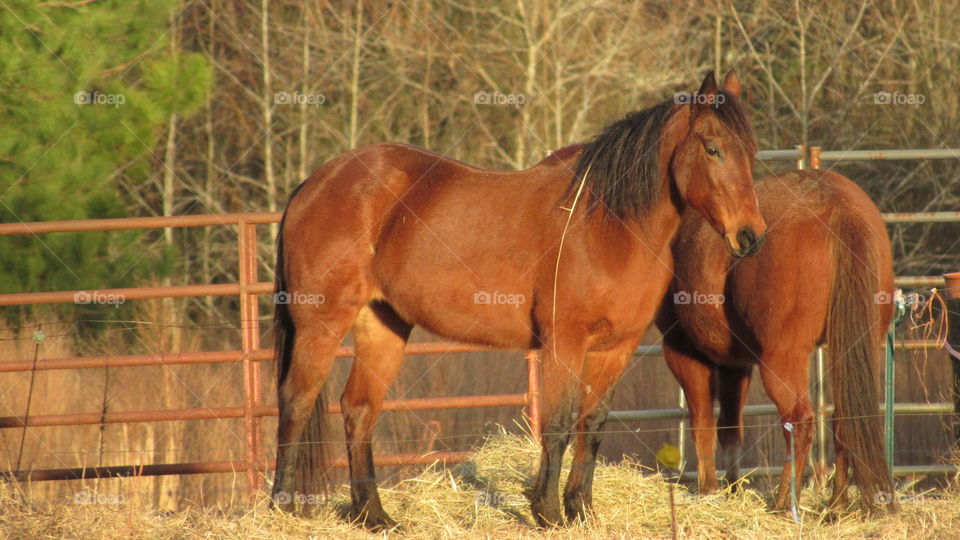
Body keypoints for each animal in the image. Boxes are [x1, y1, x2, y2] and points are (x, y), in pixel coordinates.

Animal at [270, 70, 766, 529]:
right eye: (712, 149)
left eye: (752, 152)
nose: (751, 236)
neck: (609, 224)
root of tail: (317, 182)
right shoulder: (563, 343)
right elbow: (559, 423)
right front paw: (547, 511)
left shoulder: (615, 348)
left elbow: (592, 424)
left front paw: (580, 510)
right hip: (322, 322)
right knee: (296, 400)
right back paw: (282, 507)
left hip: (382, 324)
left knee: (358, 409)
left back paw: (373, 516)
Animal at [656, 168, 896, 514]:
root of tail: (839, 204)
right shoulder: (735, 364)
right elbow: (730, 429)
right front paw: (731, 491)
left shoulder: (684, 352)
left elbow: (702, 422)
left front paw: (708, 490)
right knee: (843, 420)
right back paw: (835, 506)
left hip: (781, 359)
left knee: (799, 421)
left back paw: (785, 502)